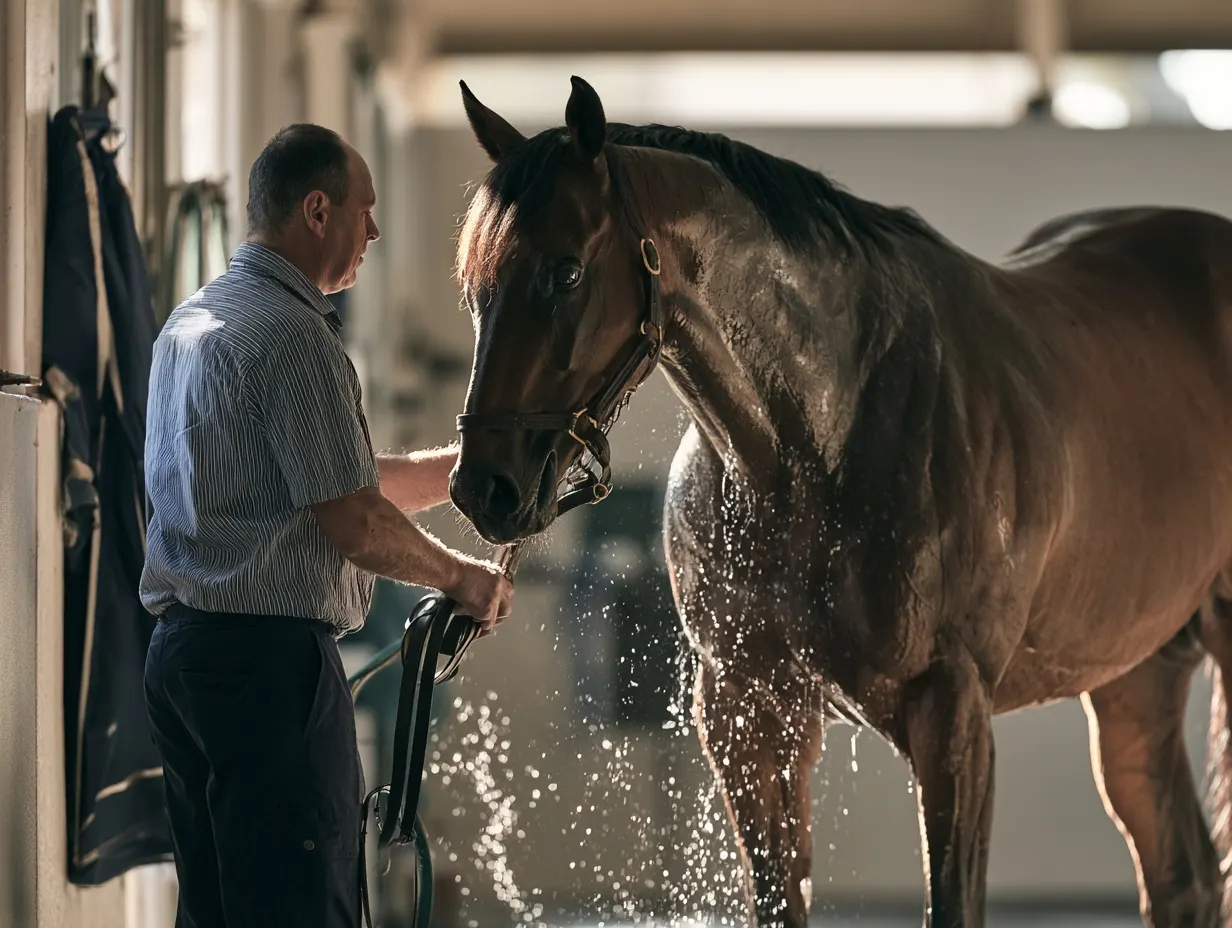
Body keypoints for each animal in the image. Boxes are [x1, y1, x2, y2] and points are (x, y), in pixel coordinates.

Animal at [445, 75, 1232, 928]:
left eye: (565, 272)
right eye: (475, 284)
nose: (483, 488)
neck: (813, 442)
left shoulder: (952, 712)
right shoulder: (750, 713)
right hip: (1135, 673)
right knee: (1182, 876)